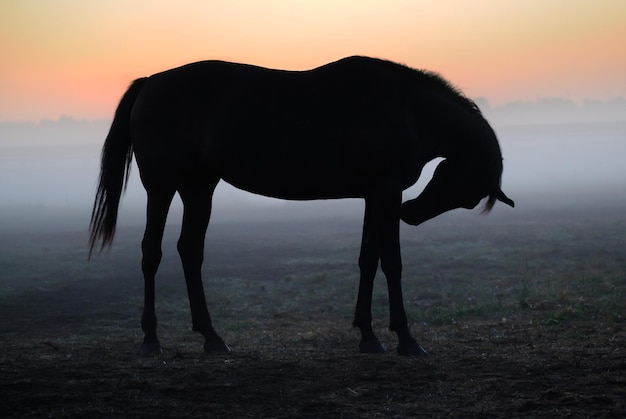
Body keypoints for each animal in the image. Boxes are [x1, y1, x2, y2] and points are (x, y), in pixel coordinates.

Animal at [90, 56, 516, 358]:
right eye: (466, 192)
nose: (410, 214)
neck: (406, 108)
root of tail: (151, 82)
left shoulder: (375, 195)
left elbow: (368, 259)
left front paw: (368, 335)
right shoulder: (386, 192)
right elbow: (392, 262)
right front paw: (406, 339)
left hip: (198, 188)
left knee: (190, 251)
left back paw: (212, 338)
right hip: (161, 187)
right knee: (152, 253)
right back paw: (151, 340)